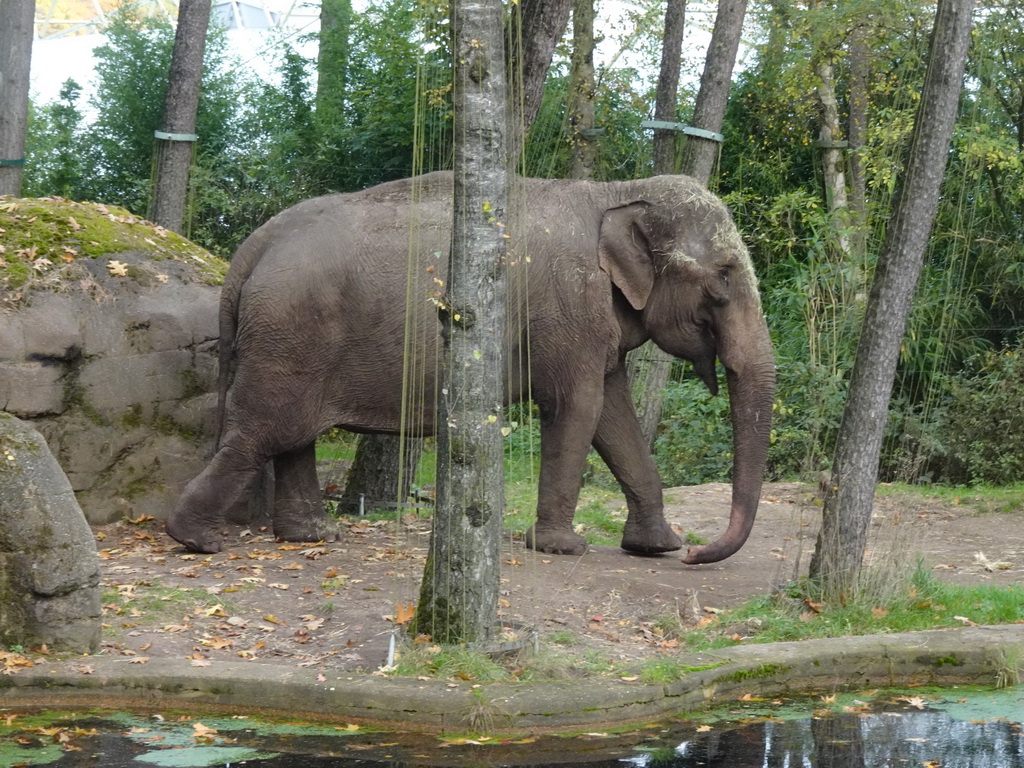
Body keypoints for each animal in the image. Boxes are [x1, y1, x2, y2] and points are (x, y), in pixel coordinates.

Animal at [167, 173, 774, 565]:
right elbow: (577, 407)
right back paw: (199, 540)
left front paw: (656, 547)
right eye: (723, 277)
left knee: (292, 435)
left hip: (292, 337)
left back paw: (312, 537)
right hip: (291, 330)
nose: (698, 552)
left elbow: (614, 415)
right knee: (264, 432)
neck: (616, 190)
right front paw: (563, 548)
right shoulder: (567, 306)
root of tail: (252, 248)